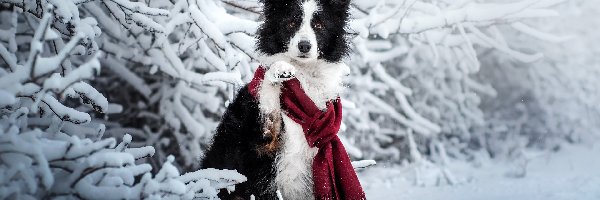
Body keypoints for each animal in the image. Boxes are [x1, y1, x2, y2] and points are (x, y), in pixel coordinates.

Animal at [203, 0, 352, 198]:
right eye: (291, 23)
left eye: (319, 25)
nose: (304, 46)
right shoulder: (257, 148)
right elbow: (267, 103)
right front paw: (278, 70)